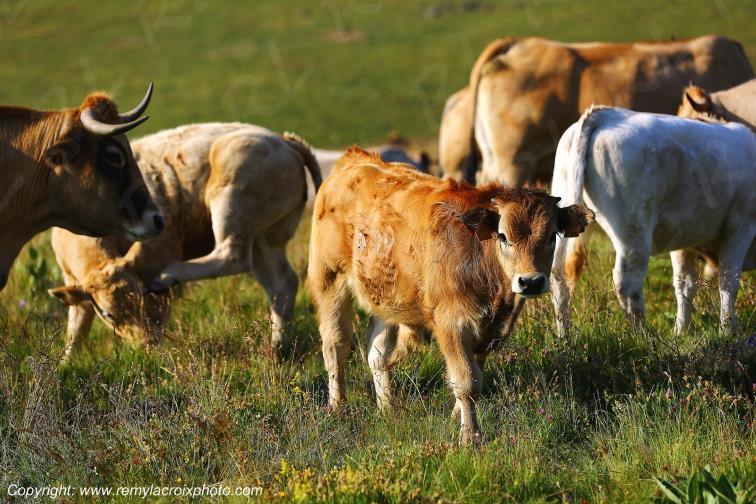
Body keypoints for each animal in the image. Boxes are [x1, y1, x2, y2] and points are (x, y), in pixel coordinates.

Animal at [49, 123, 322, 357]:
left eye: (142, 298)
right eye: (107, 314)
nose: (145, 347)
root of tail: (284, 140)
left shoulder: (160, 249)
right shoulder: (73, 281)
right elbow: (76, 328)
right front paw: (66, 363)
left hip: (232, 196)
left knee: (232, 256)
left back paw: (170, 274)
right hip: (265, 240)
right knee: (282, 284)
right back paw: (278, 348)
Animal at [308, 148, 593, 445]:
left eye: (552, 236)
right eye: (503, 236)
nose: (531, 281)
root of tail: (355, 158)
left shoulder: (485, 332)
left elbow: (473, 375)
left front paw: (457, 416)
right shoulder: (451, 325)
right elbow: (467, 382)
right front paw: (470, 436)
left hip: (384, 299)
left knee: (377, 354)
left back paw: (387, 408)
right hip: (330, 283)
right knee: (336, 347)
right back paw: (337, 406)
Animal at [550, 106, 755, 338]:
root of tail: (605, 114)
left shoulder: (684, 237)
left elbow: (685, 284)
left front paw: (681, 332)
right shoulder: (741, 225)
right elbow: (728, 281)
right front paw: (727, 332)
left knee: (559, 276)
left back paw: (565, 335)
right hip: (634, 233)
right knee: (628, 283)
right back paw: (643, 337)